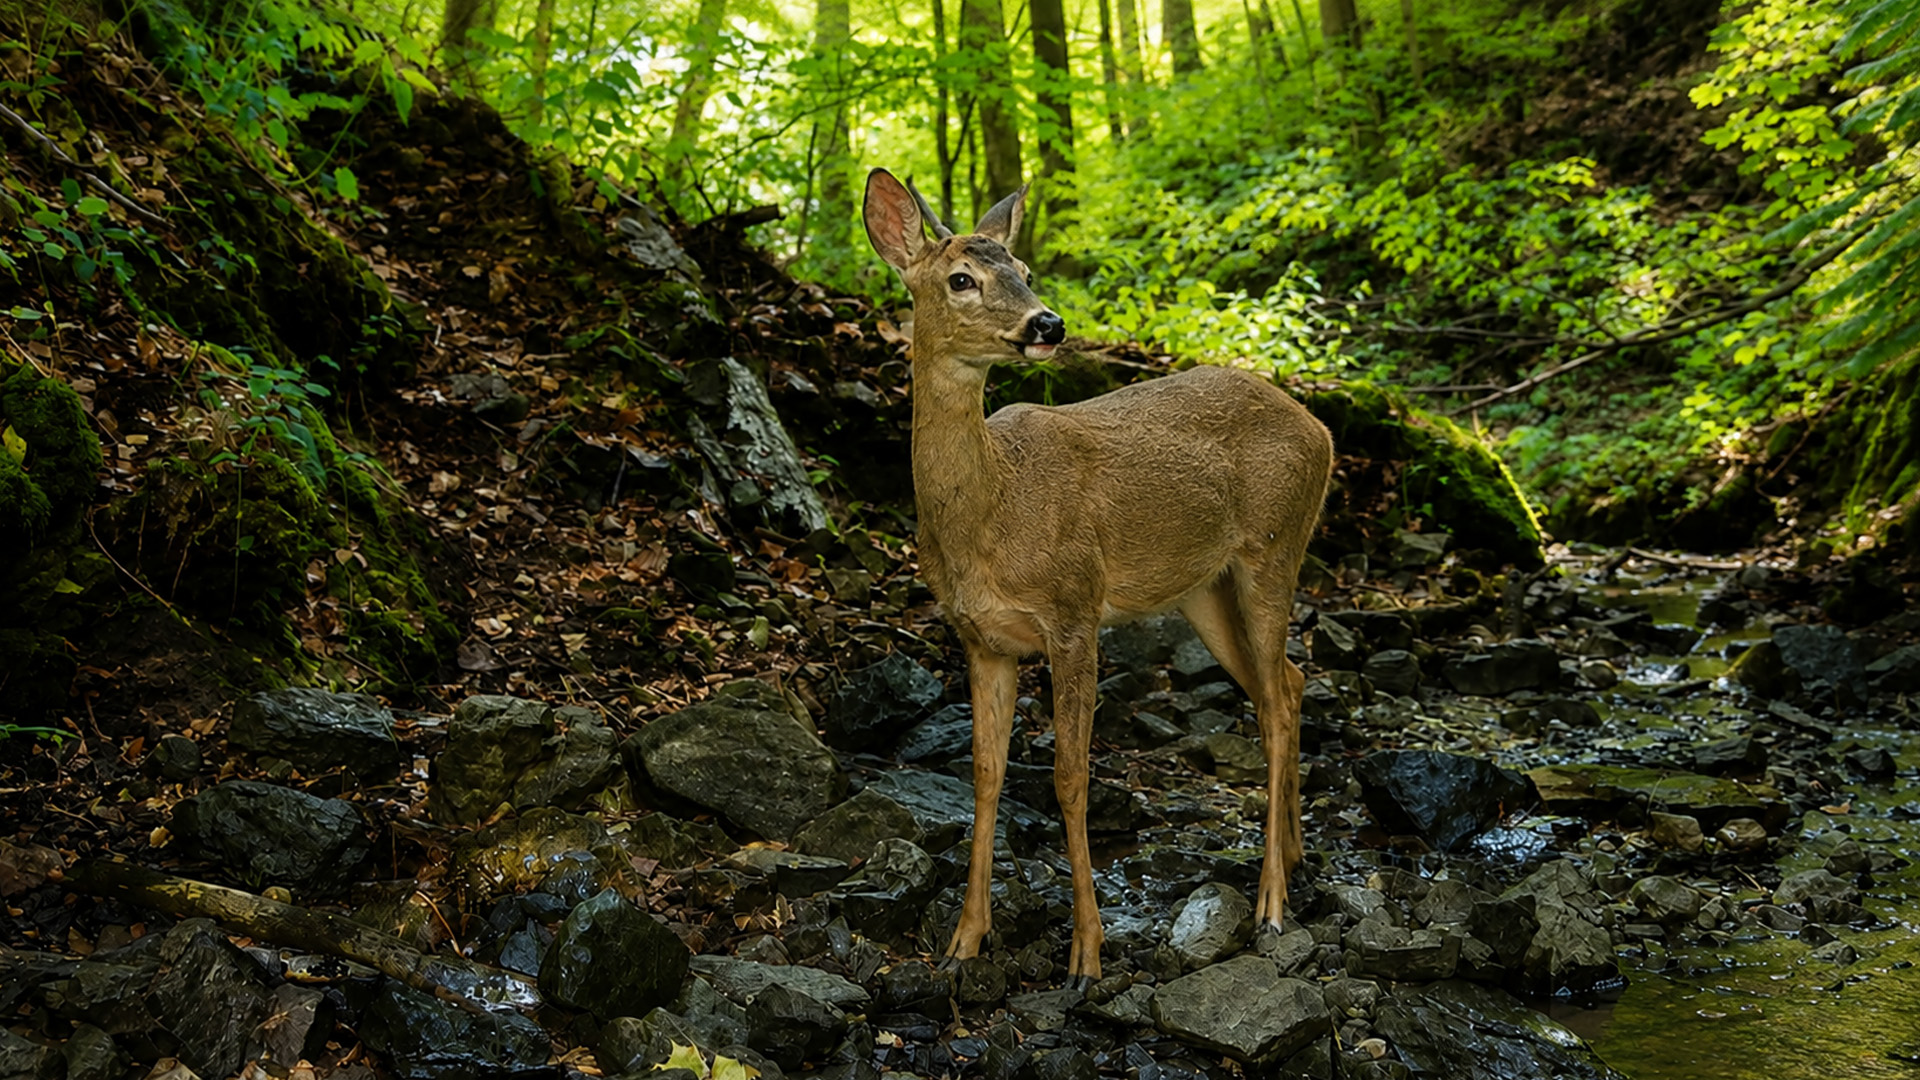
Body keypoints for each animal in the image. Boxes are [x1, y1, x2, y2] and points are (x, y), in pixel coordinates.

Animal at [862, 168, 1334, 985]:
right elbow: (984, 774)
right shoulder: (981, 637)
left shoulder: (1074, 610)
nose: (1048, 324)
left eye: (1024, 270)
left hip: (1274, 547)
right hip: (1204, 588)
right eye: (962, 278)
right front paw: (964, 940)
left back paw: (1272, 903)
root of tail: (1322, 428)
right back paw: (1296, 854)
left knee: (1276, 700)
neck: (992, 512)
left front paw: (1087, 952)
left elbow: (1070, 778)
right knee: (1291, 683)